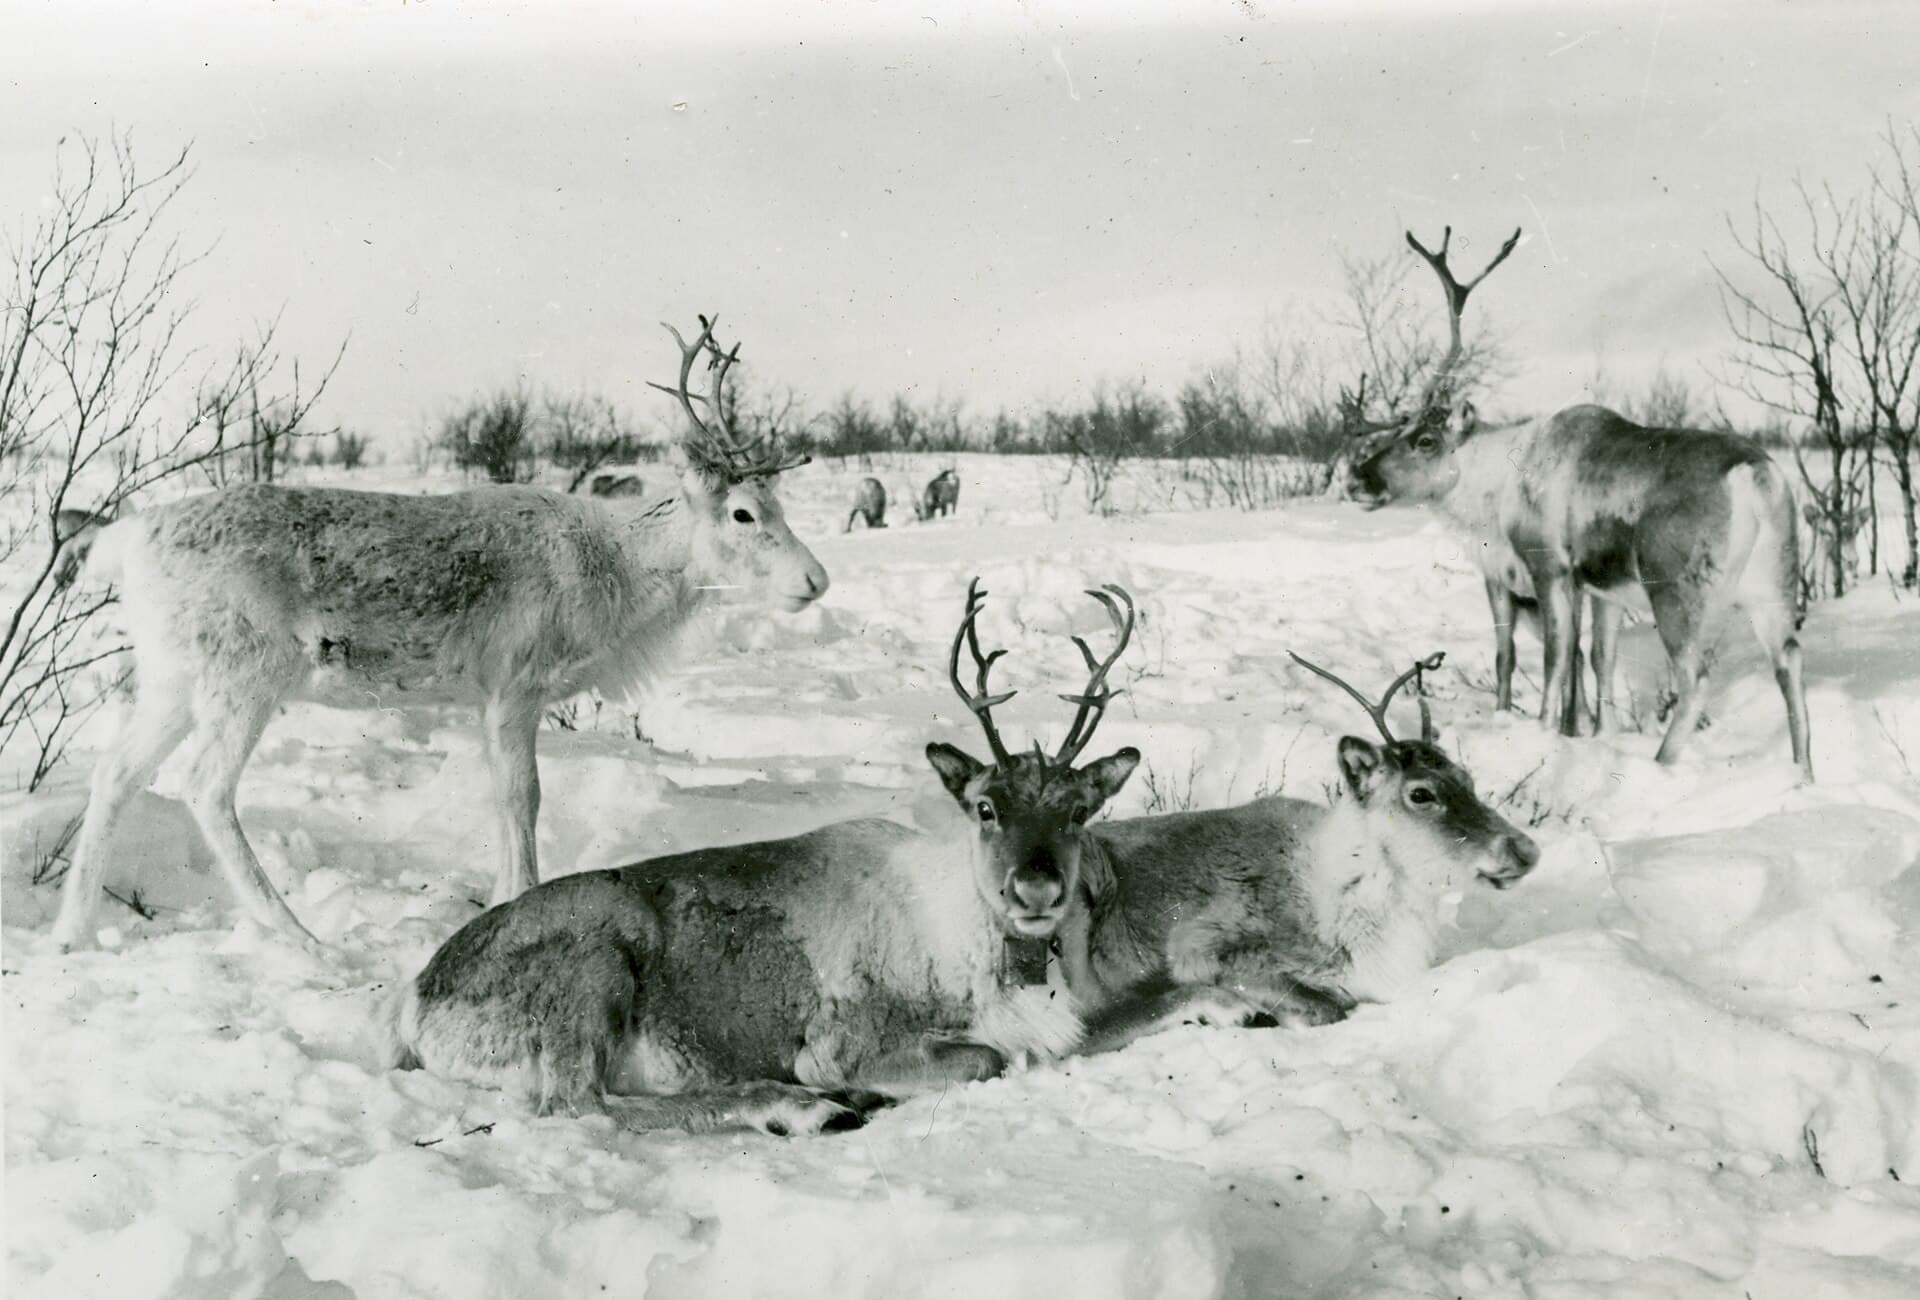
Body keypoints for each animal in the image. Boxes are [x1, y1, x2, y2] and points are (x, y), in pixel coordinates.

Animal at [44, 315, 830, 952]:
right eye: (743, 513)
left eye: (781, 504)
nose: (817, 579)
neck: (618, 576)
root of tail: (125, 541)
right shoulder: (516, 682)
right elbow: (523, 797)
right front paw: (518, 901)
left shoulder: (490, 698)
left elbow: (502, 796)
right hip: (245, 672)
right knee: (205, 786)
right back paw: (305, 941)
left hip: (172, 676)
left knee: (117, 772)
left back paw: (73, 932)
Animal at [384, 578, 1144, 1136]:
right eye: (986, 807)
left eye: (1078, 810)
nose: (1036, 889)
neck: (970, 944)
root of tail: (415, 1004)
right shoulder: (839, 1039)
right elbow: (986, 1057)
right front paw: (839, 1090)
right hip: (595, 961)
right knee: (579, 1103)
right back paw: (806, 1108)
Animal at [1348, 234, 1812, 780]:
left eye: (1423, 440)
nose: (1358, 478)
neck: (1496, 487)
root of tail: (1757, 478)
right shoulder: (1602, 588)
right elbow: (1595, 659)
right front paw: (1598, 736)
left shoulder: (1547, 566)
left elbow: (1551, 658)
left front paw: (1545, 735)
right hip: (1774, 582)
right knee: (1790, 661)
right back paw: (1803, 777)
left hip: (1678, 587)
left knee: (1695, 678)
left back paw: (1660, 766)